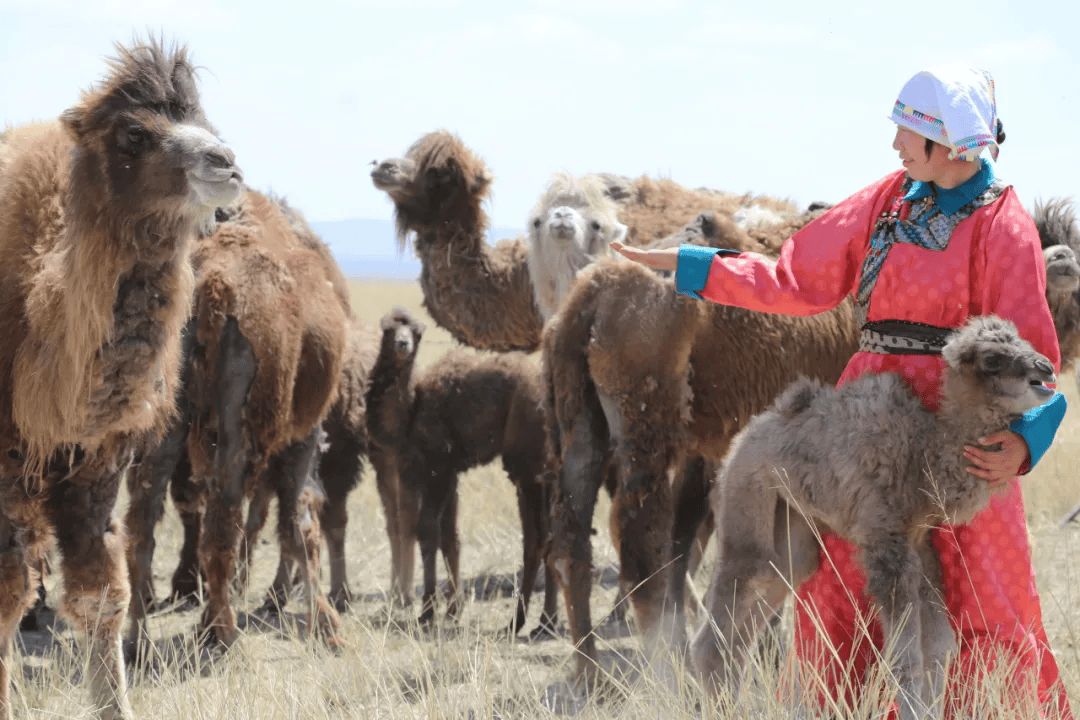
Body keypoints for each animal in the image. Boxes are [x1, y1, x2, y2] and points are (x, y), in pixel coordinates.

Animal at [691, 317, 1054, 720]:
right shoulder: (885, 542)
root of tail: (737, 446)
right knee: (720, 625)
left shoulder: (918, 544)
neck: (923, 457)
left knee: (752, 616)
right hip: (745, 510)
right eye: (992, 358)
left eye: (1024, 341)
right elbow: (905, 654)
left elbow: (938, 646)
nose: (1045, 369)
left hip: (792, 535)